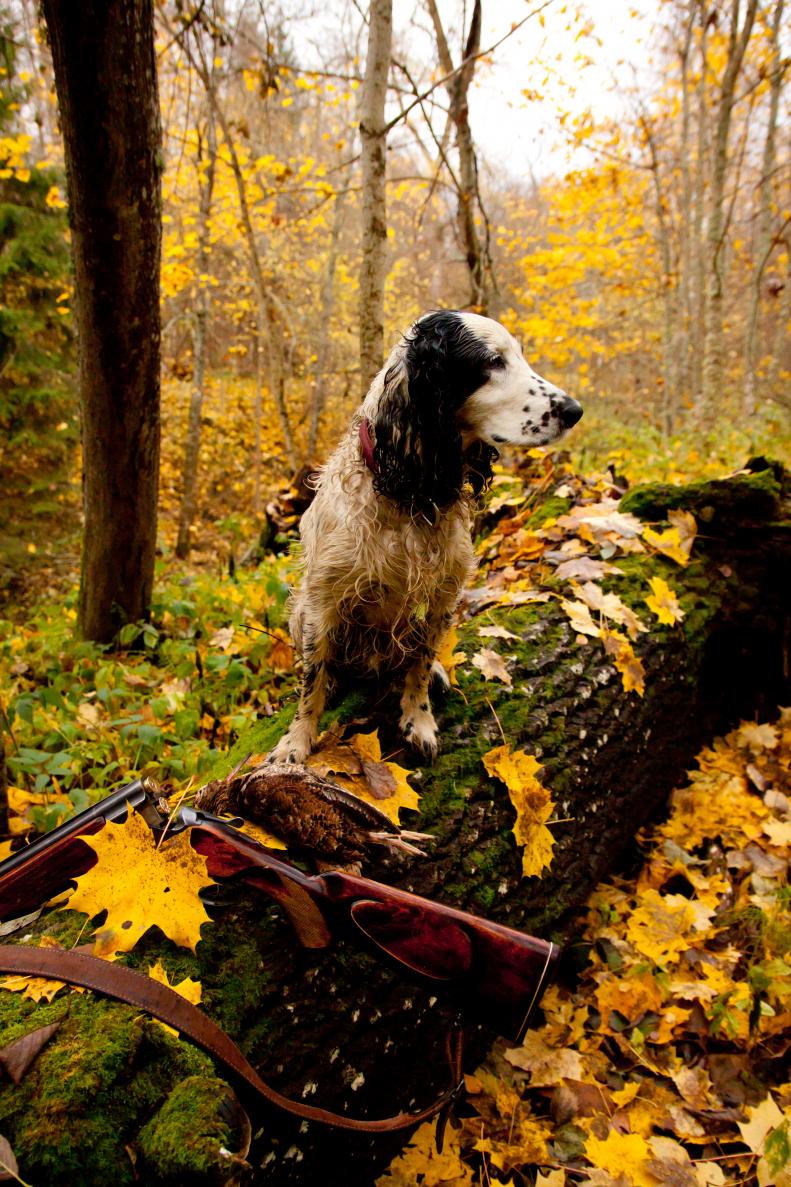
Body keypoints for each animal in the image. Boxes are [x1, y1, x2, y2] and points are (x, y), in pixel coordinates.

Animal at [268, 310, 582, 765]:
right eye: (493, 362)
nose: (576, 410)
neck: (410, 491)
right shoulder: (323, 602)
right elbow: (312, 682)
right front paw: (297, 740)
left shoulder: (441, 598)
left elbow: (417, 664)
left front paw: (418, 719)